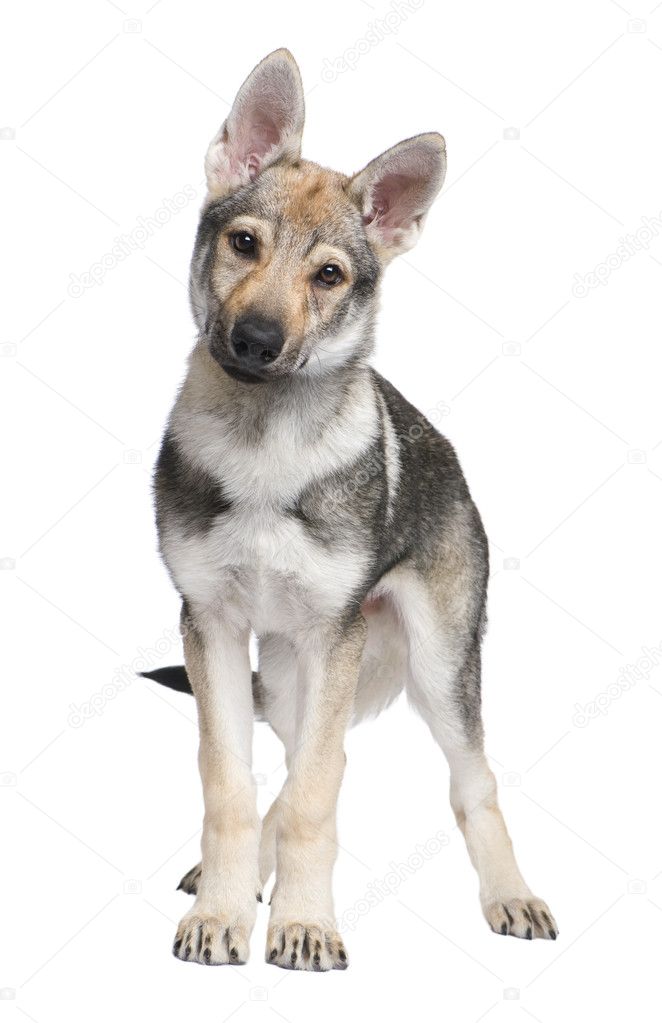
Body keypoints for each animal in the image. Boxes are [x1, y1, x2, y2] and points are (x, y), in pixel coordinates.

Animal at [142, 48, 556, 969]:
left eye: (328, 275)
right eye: (245, 244)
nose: (256, 341)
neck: (265, 450)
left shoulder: (333, 636)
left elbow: (314, 797)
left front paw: (303, 926)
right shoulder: (210, 625)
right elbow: (232, 783)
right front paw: (223, 915)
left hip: (434, 668)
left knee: (468, 780)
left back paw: (510, 897)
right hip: (290, 674)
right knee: (296, 767)